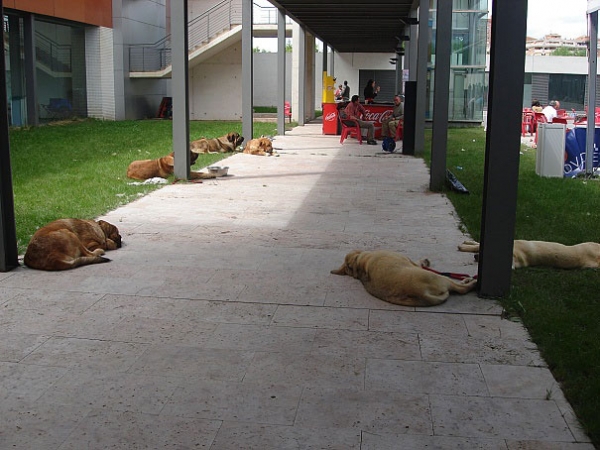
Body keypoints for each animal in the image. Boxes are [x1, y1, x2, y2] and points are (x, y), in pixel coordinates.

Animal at [330, 248, 476, 308]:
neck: (359, 264)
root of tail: (421, 294)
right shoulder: (410, 261)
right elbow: (418, 262)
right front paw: (425, 261)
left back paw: (467, 280)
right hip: (438, 278)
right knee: (461, 289)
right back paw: (473, 281)